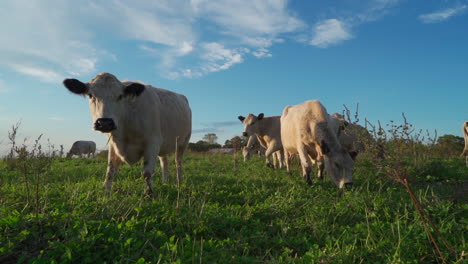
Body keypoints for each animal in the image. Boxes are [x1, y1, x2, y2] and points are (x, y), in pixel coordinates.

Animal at [63, 72, 191, 194]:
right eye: (90, 95)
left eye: (120, 96)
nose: (105, 123)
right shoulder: (114, 144)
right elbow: (110, 170)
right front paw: (105, 191)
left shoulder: (152, 142)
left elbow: (147, 172)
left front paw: (149, 194)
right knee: (164, 162)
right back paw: (165, 182)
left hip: (183, 142)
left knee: (178, 162)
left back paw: (179, 183)